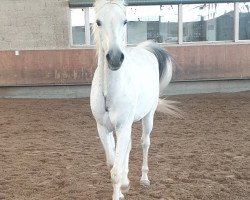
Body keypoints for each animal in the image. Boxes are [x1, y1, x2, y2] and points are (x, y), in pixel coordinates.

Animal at [90, 0, 176, 198]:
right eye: (98, 22)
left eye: (125, 21)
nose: (115, 58)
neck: (109, 92)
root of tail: (144, 50)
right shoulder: (103, 128)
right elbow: (112, 163)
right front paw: (123, 186)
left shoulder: (123, 126)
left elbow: (116, 170)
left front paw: (120, 191)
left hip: (148, 117)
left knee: (145, 143)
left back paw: (144, 179)